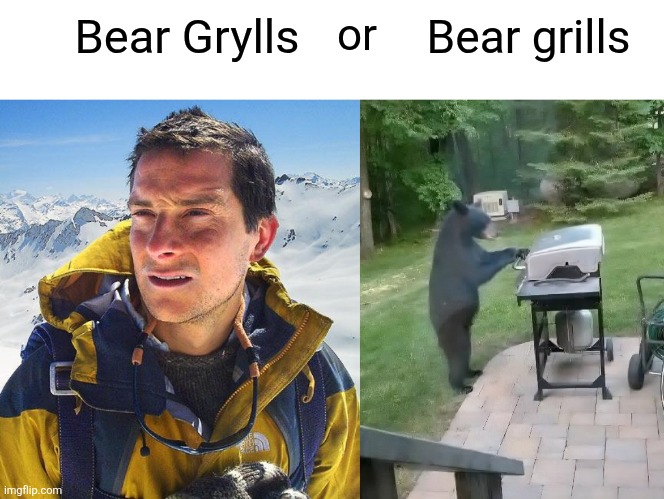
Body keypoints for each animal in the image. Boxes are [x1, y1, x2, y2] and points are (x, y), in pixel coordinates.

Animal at [428, 200, 527, 394]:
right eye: (485, 220)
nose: (497, 232)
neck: (461, 237)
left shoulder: (473, 247)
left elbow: (486, 256)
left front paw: (521, 249)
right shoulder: (458, 258)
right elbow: (478, 272)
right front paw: (512, 253)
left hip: (465, 329)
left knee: (466, 351)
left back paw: (472, 371)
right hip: (453, 328)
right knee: (458, 354)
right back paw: (460, 385)